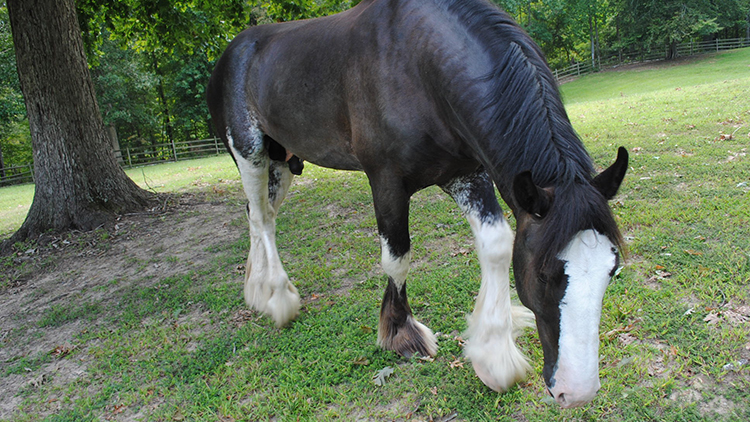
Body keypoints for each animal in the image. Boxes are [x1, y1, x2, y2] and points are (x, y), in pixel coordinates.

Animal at [206, 0, 628, 408]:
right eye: (543, 275)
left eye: (612, 270)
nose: (576, 392)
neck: (418, 63)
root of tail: (232, 52)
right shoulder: (386, 181)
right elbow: (397, 258)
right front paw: (400, 333)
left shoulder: (466, 174)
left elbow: (495, 245)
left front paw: (494, 356)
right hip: (250, 153)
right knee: (262, 218)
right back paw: (277, 297)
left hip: (283, 160)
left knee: (258, 216)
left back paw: (257, 289)